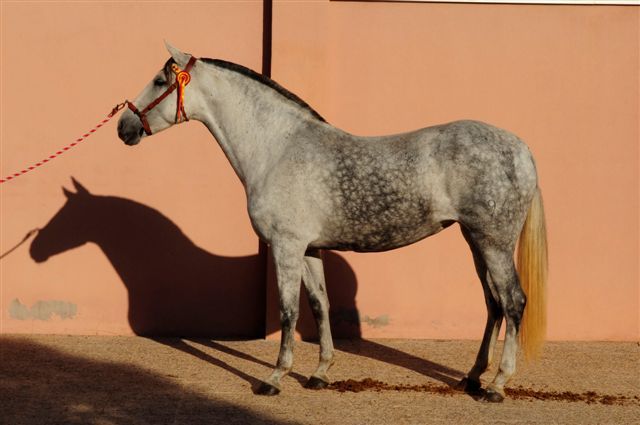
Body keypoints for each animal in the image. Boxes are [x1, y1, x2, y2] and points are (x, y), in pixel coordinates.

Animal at [117, 44, 548, 402]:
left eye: (159, 81)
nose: (124, 127)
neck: (277, 148)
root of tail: (521, 148)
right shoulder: (310, 249)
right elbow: (319, 305)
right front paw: (320, 374)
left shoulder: (287, 246)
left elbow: (288, 311)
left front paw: (274, 379)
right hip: (475, 240)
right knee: (493, 303)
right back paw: (472, 377)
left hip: (493, 242)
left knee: (513, 301)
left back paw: (496, 386)